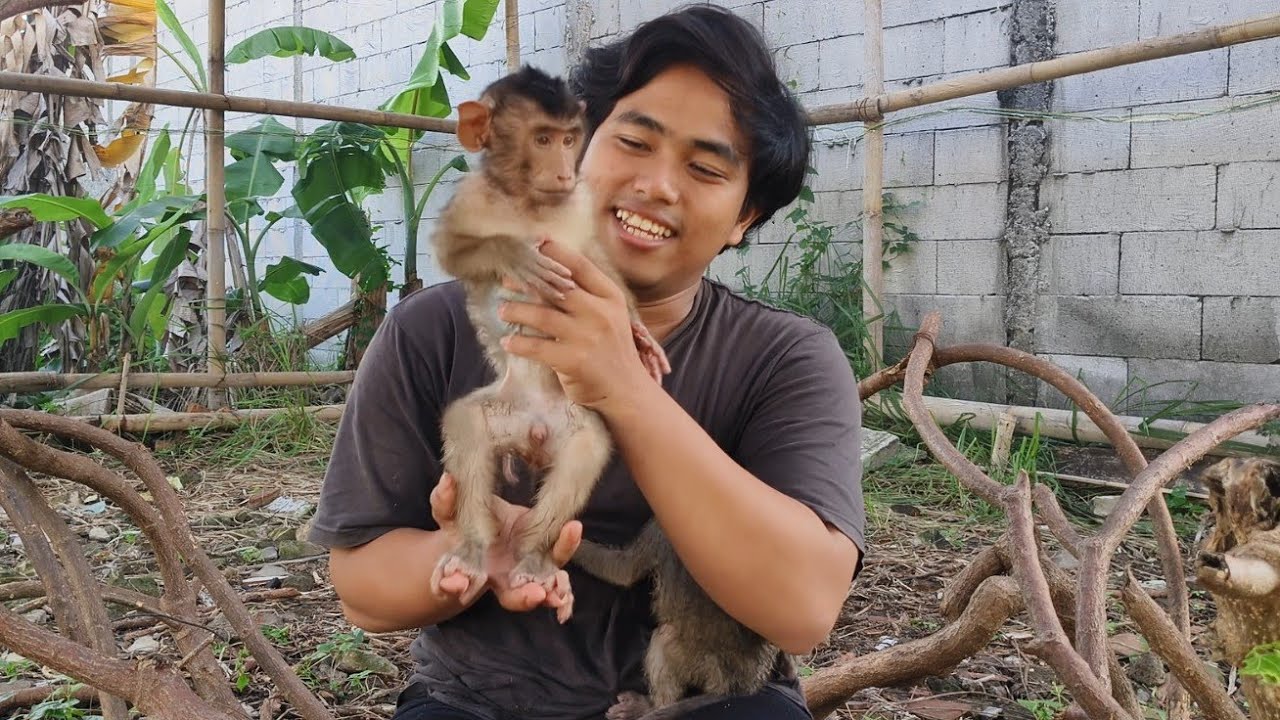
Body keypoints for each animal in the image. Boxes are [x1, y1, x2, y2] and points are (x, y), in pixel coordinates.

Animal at [427, 65, 671, 624]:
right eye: (541, 139)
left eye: (568, 139)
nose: (562, 172)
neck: (526, 201)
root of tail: (532, 432)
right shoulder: (470, 197)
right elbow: (452, 250)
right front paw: (514, 252)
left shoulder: (580, 206)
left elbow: (599, 261)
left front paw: (638, 334)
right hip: (501, 412)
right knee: (467, 425)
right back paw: (472, 552)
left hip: (570, 424)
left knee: (588, 448)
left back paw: (536, 557)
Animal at [571, 520, 791, 720]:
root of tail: (736, 686)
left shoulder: (660, 530)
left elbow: (622, 570)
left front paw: (573, 545)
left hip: (702, 664)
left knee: (663, 638)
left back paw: (651, 707)